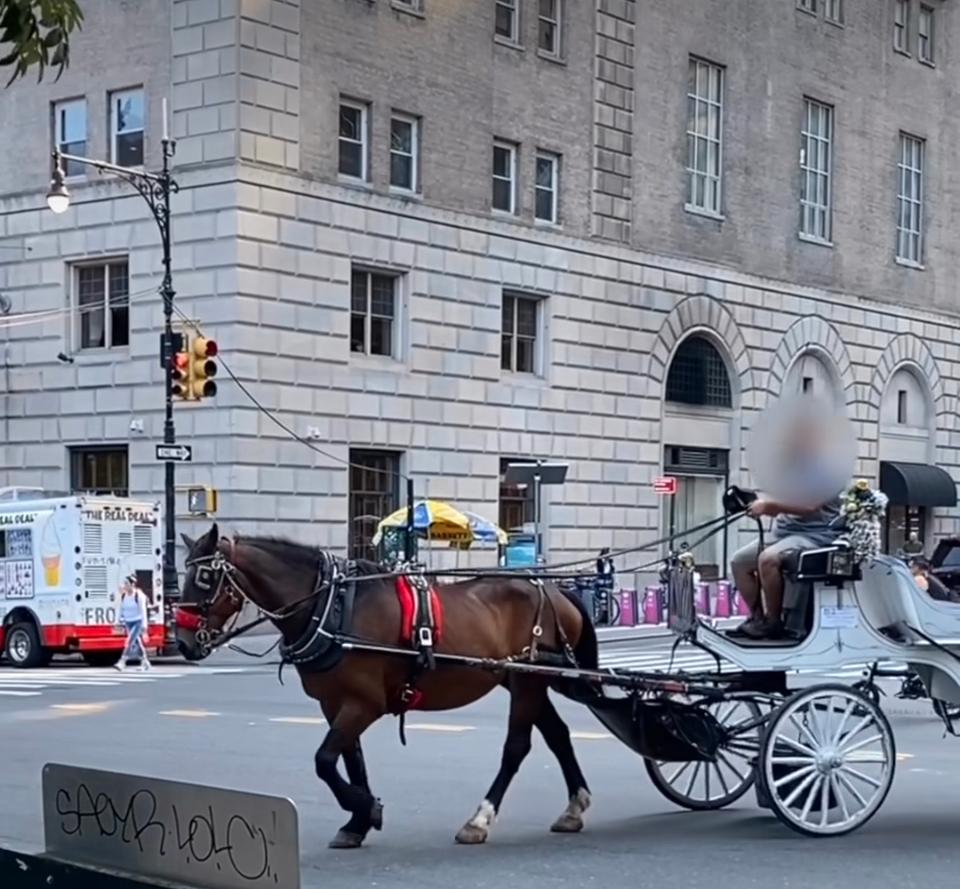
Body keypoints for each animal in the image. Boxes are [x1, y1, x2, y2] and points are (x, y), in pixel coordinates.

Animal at [174, 524, 600, 848]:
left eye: (205, 577)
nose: (183, 642)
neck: (333, 607)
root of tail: (555, 589)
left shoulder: (364, 704)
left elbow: (324, 760)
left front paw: (366, 807)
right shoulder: (336, 703)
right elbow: (349, 760)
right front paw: (357, 821)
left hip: (529, 680)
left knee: (517, 747)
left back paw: (479, 819)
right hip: (519, 678)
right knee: (558, 734)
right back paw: (573, 807)